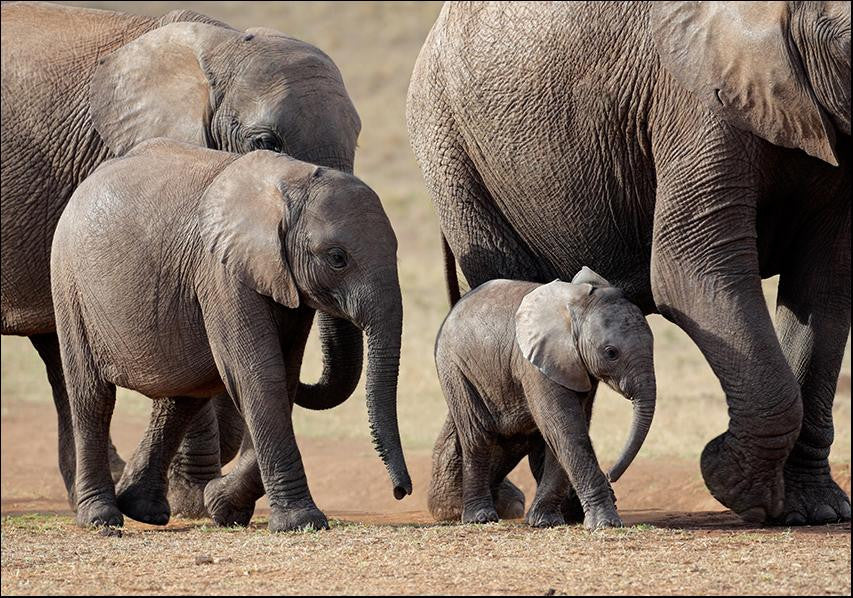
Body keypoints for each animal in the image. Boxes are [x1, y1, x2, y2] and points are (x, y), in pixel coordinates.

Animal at [49, 138, 411, 531]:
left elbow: (282, 377)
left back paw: (142, 508)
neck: (289, 183)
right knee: (93, 397)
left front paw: (222, 505)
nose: (401, 492)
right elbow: (258, 376)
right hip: (68, 282)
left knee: (180, 398)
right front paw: (301, 522)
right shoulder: (221, 272)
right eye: (337, 258)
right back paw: (101, 518)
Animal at [431, 267, 655, 530]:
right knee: (478, 437)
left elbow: (562, 432)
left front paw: (544, 521)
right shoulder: (534, 363)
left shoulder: (575, 366)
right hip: (455, 369)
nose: (611, 474)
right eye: (611, 353)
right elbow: (565, 427)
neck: (576, 303)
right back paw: (480, 517)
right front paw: (605, 524)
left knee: (514, 440)